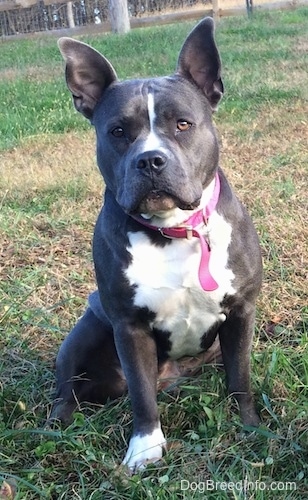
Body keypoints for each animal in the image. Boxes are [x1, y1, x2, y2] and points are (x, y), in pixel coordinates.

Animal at [51, 17, 262, 472]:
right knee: (66, 389)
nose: (150, 160)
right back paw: (57, 425)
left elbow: (240, 377)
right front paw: (144, 448)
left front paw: (252, 428)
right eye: (118, 132)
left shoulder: (241, 311)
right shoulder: (129, 327)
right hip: (87, 329)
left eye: (182, 124)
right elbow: (141, 395)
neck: (173, 231)